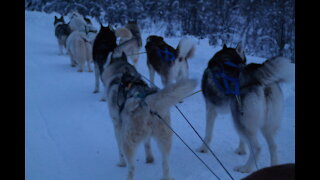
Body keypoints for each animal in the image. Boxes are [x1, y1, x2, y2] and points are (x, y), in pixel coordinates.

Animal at [102, 51, 198, 179]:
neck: (122, 72)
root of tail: (146, 101)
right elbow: (147, 144)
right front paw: (149, 158)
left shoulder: (117, 125)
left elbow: (120, 150)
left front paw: (121, 163)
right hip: (165, 139)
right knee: (166, 164)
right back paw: (166, 176)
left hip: (128, 142)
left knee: (132, 167)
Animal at [198, 43, 296, 173]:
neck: (227, 59)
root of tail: (256, 77)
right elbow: (242, 139)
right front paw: (241, 150)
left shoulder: (211, 109)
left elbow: (208, 134)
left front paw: (203, 149)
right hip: (263, 125)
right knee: (273, 146)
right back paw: (273, 167)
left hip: (242, 122)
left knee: (257, 147)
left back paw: (245, 168)